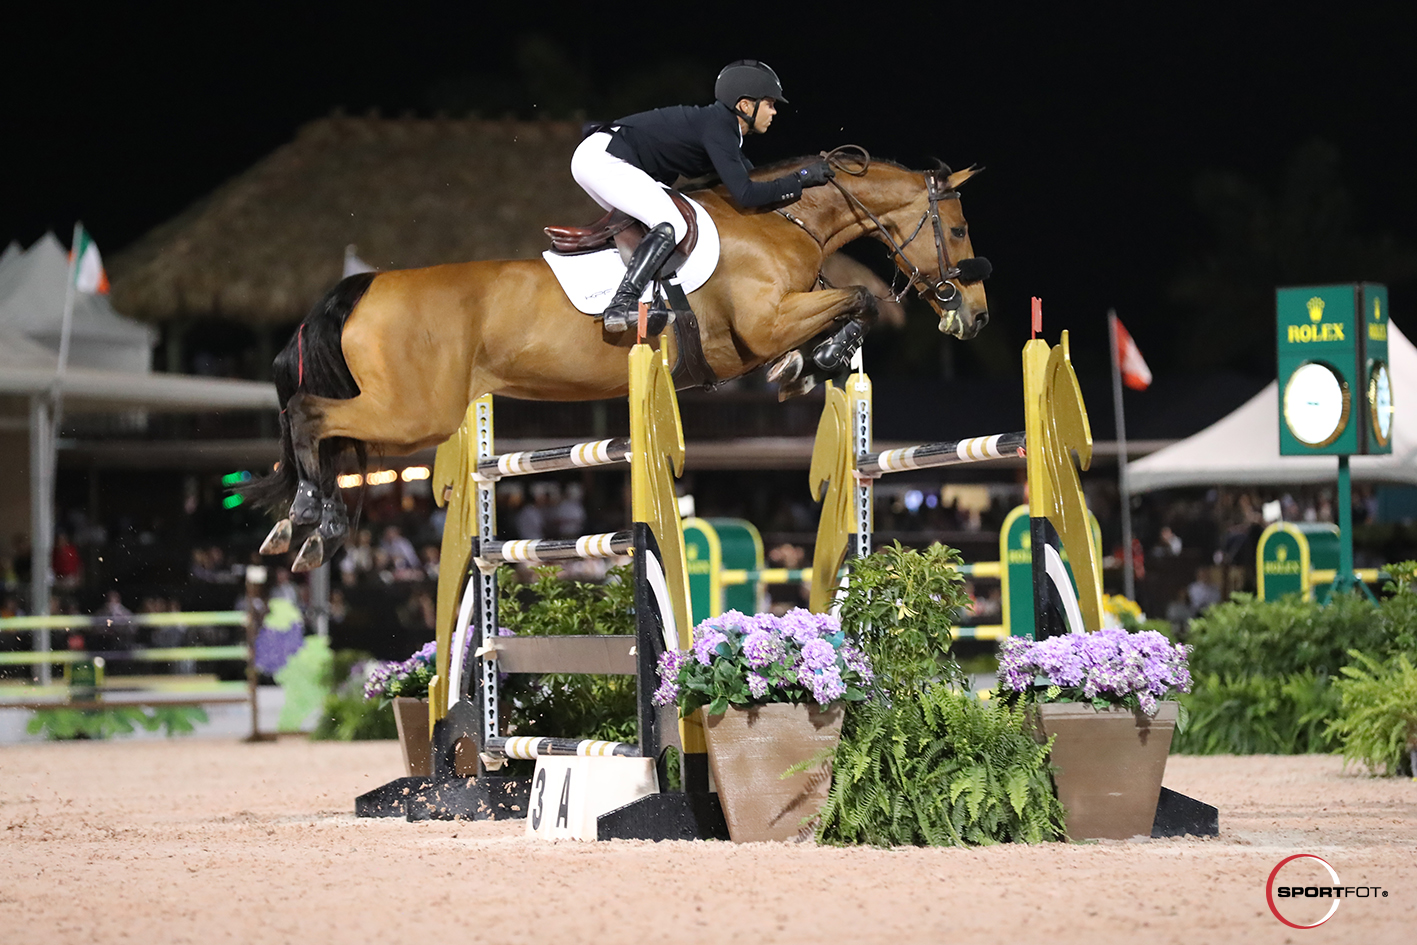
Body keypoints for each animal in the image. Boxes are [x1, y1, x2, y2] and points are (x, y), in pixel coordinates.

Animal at [246, 148, 986, 569]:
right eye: (955, 228)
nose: (974, 315)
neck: (782, 220)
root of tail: (361, 286)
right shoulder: (762, 322)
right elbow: (858, 297)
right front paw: (815, 357)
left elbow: (843, 306)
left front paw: (807, 366)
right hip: (414, 413)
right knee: (310, 416)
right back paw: (313, 520)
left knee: (316, 425)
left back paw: (300, 525)